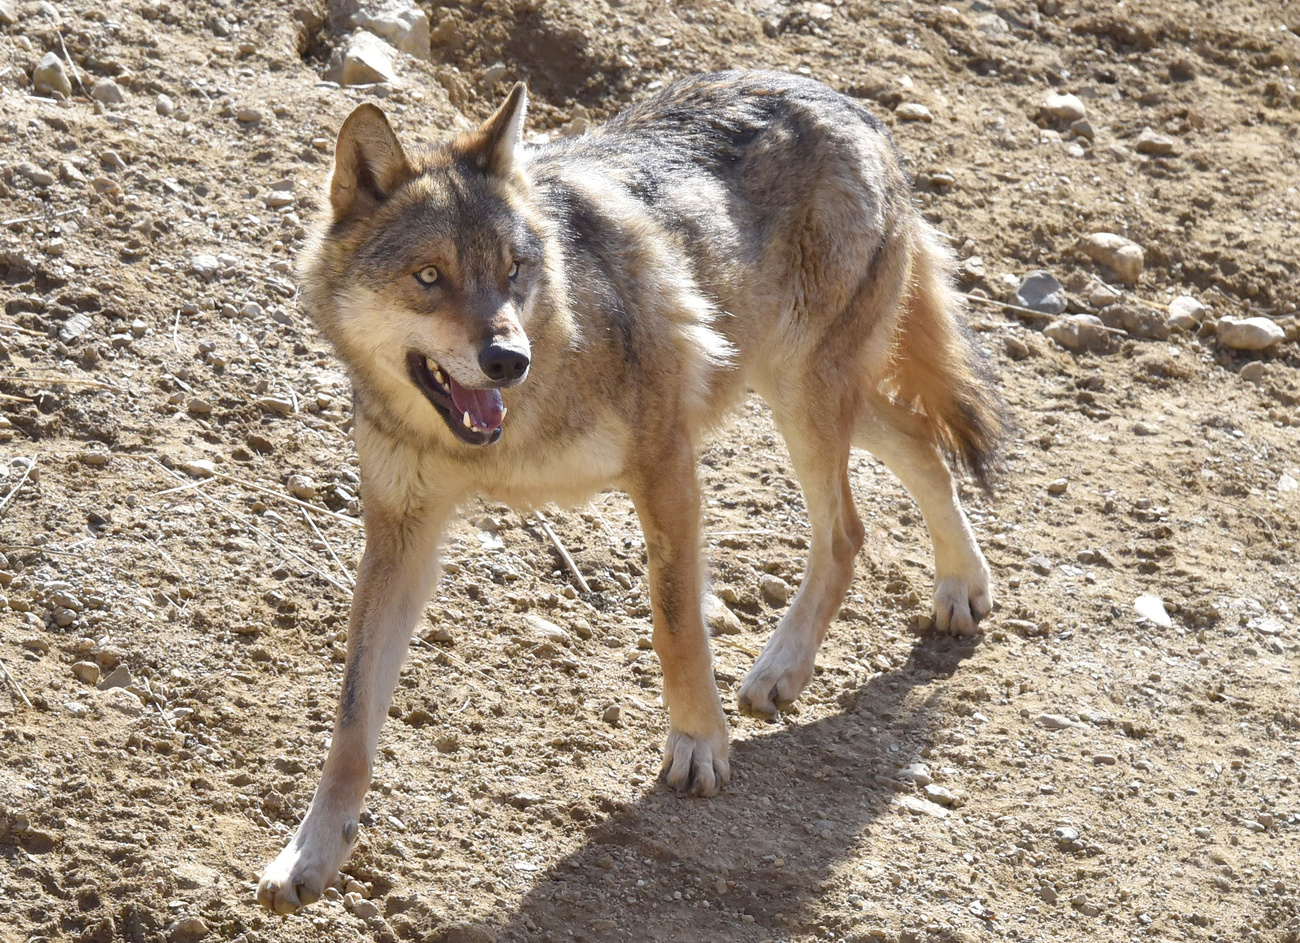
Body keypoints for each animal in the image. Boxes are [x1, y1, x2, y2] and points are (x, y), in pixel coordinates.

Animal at [257, 70, 1002, 913]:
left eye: (514, 269)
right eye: (429, 277)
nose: (507, 358)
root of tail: (849, 104)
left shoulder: (666, 463)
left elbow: (676, 623)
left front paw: (700, 745)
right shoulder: (398, 535)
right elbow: (352, 718)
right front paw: (311, 853)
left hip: (802, 395)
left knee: (848, 526)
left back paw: (784, 666)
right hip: (797, 388)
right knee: (919, 443)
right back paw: (960, 586)